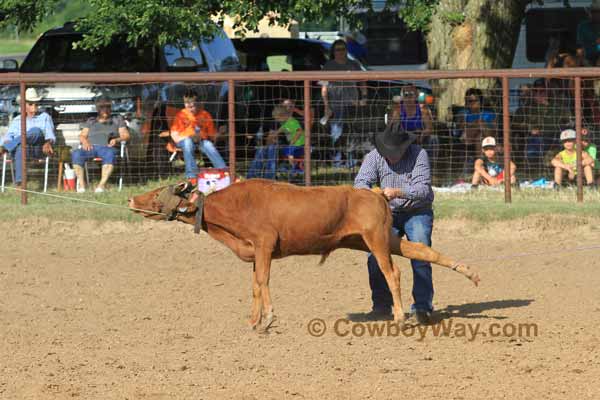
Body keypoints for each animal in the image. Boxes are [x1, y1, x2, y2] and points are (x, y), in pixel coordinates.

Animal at [127, 178, 478, 332]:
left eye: (157, 194)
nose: (131, 199)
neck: (233, 207)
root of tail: (376, 192)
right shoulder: (256, 251)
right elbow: (255, 285)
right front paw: (254, 320)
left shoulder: (264, 243)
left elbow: (263, 281)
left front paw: (268, 319)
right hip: (376, 239)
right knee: (421, 250)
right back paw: (469, 271)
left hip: (375, 239)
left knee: (393, 273)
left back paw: (400, 317)